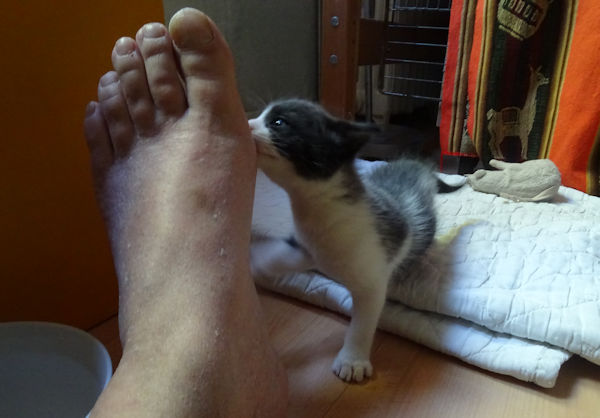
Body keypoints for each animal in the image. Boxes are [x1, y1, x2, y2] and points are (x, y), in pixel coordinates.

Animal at [249, 98, 446, 382]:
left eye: (278, 122)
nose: (246, 123)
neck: (320, 211)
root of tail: (415, 165)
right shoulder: (307, 246)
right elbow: (285, 254)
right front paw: (257, 262)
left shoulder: (374, 276)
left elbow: (363, 322)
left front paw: (353, 360)